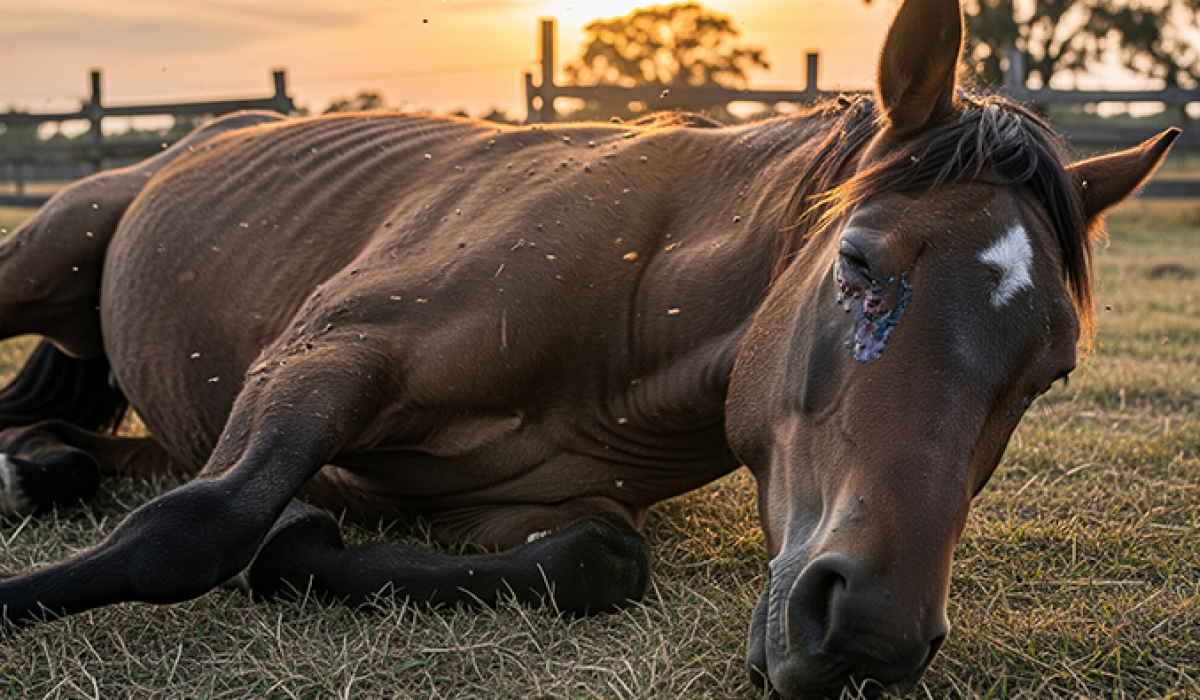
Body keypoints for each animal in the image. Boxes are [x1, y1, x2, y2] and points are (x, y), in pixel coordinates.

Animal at [0, 0, 1178, 696]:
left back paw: (38, 469)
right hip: (43, 258)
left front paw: (306, 545)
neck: (630, 303)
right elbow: (195, 528)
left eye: (1053, 373)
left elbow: (600, 559)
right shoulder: (324, 352)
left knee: (85, 446)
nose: (873, 634)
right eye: (858, 262)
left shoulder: (512, 508)